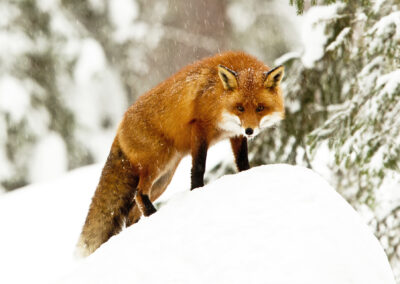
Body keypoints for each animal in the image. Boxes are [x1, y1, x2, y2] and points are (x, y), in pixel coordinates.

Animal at [76, 51, 284, 258]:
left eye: (259, 108)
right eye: (240, 107)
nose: (250, 130)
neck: (217, 96)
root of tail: (119, 127)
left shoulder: (235, 134)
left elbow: (242, 163)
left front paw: (246, 176)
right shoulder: (199, 127)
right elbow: (198, 168)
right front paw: (197, 191)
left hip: (164, 178)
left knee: (133, 209)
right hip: (159, 162)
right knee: (139, 194)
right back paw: (155, 215)